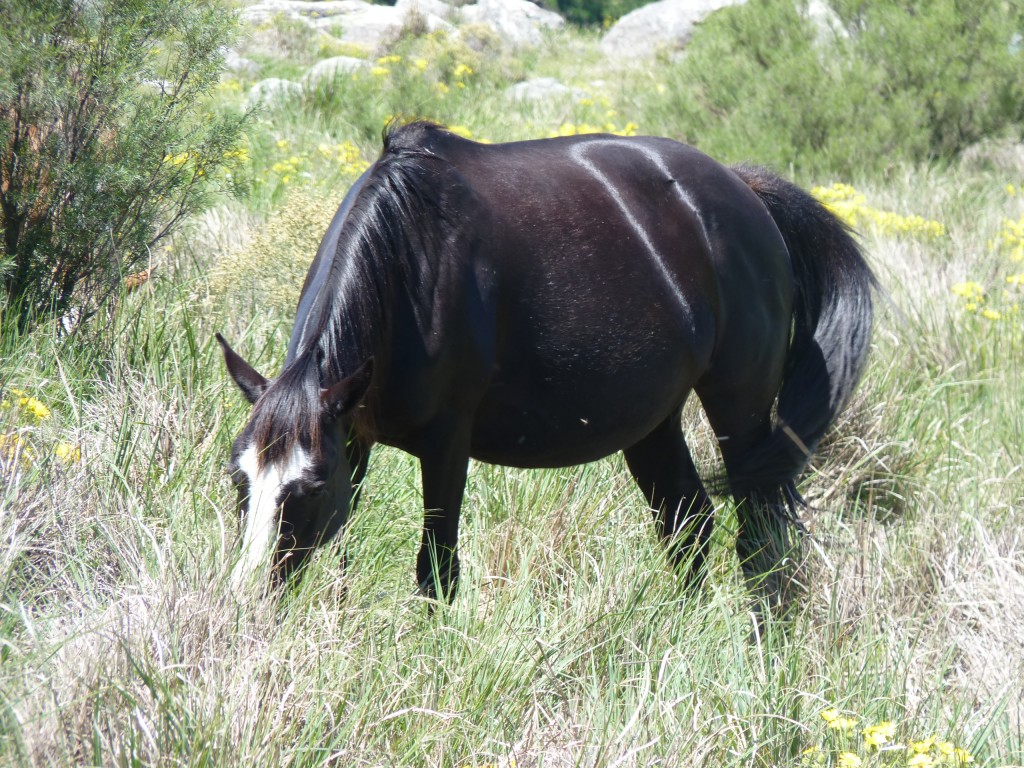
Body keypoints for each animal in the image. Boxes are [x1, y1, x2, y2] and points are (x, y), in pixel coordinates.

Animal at [216, 120, 872, 614]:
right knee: (687, 525)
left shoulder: (446, 444)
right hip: (651, 421)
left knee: (757, 540)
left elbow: (437, 571)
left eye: (307, 488)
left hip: (741, 408)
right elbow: (340, 554)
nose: (247, 598)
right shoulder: (352, 433)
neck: (411, 265)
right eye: (239, 480)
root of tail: (745, 189)